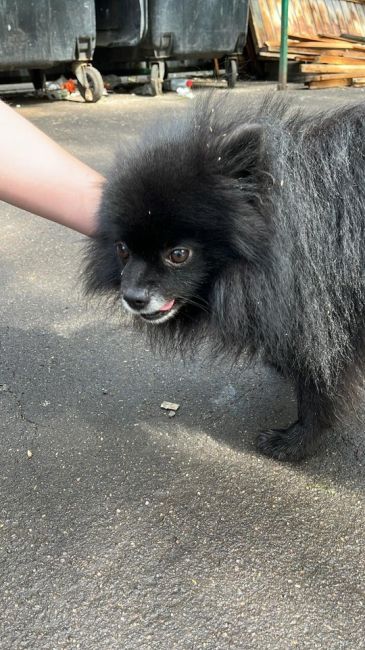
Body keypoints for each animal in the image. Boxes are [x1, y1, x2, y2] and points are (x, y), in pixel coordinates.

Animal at [84, 95, 364, 460]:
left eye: (178, 254)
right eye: (122, 250)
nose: (132, 297)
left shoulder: (328, 320)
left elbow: (318, 390)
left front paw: (295, 442)